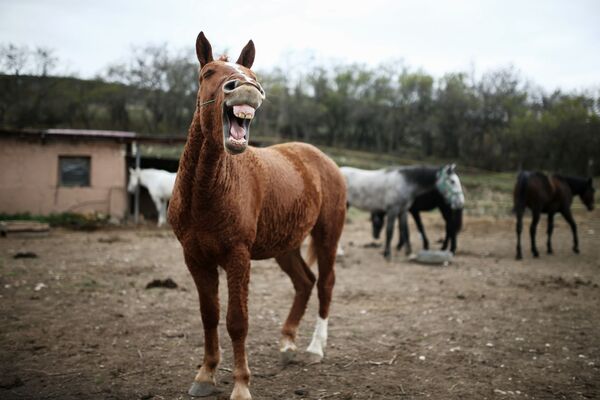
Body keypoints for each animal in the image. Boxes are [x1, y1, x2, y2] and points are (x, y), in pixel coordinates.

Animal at [168, 32, 346, 400]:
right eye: (208, 72)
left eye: (251, 73)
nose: (246, 88)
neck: (206, 193)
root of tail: (324, 160)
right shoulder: (195, 258)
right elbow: (209, 315)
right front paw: (205, 375)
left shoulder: (238, 256)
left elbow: (237, 321)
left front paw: (240, 385)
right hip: (286, 245)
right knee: (305, 282)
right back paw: (287, 343)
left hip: (327, 236)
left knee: (325, 284)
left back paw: (315, 348)